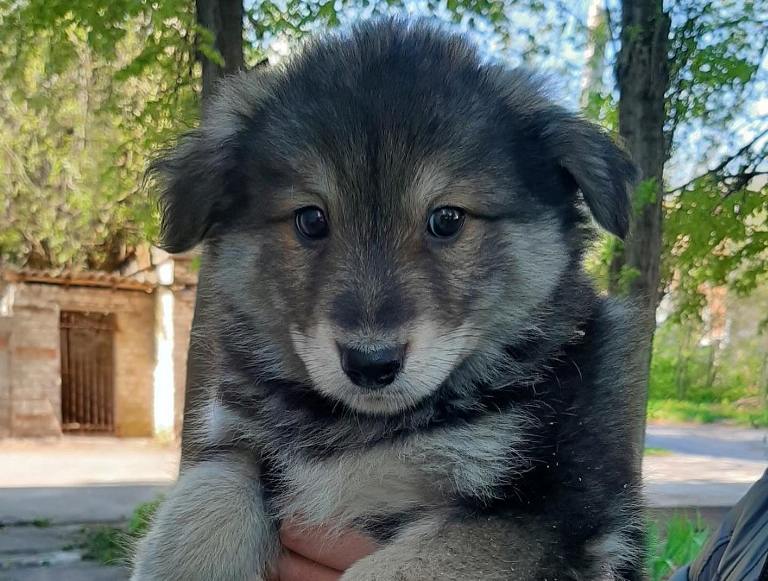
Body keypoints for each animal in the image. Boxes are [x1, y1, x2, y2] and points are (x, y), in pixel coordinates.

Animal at [134, 18, 648, 580]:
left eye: (447, 219)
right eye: (310, 219)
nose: (371, 363)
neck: (360, 429)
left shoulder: (547, 505)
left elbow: (391, 567)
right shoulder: (239, 443)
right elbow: (201, 502)